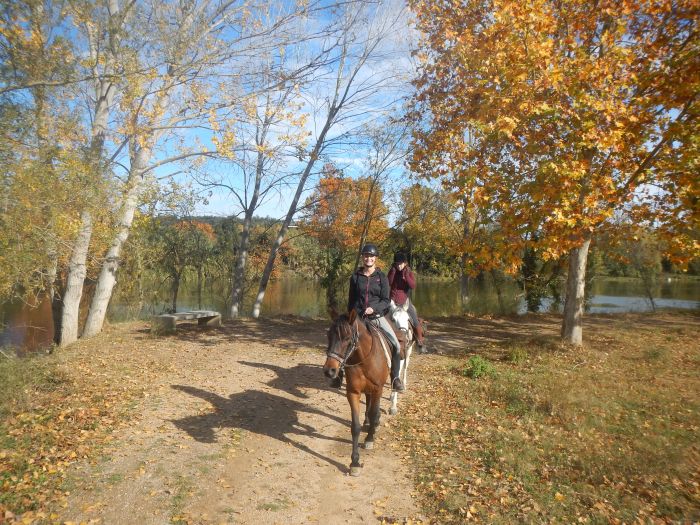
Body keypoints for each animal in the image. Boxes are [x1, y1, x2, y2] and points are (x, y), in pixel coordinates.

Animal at [322, 308, 388, 474]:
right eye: (328, 335)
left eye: (347, 338)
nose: (329, 371)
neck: (364, 359)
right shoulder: (353, 393)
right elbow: (355, 426)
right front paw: (355, 462)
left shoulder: (378, 389)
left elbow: (374, 412)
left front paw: (370, 439)